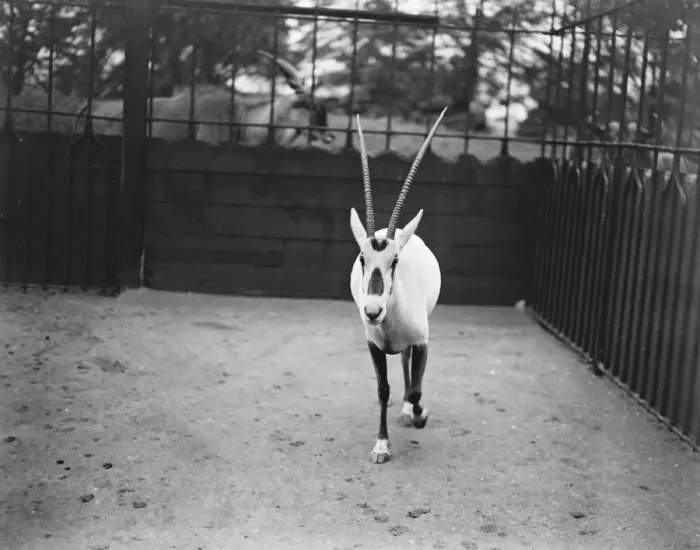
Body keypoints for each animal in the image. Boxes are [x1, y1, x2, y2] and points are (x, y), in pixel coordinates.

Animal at [349, 107, 447, 464]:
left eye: (395, 261)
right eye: (362, 258)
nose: (372, 311)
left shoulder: (422, 341)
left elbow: (416, 389)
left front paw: (418, 415)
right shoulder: (374, 345)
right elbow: (382, 389)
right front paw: (381, 445)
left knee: (407, 367)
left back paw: (408, 412)